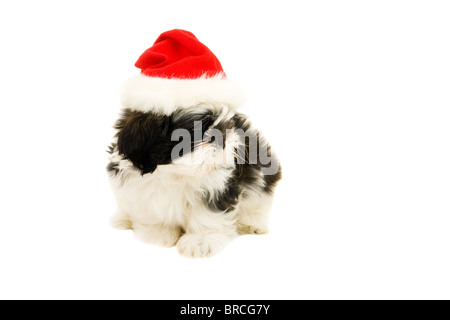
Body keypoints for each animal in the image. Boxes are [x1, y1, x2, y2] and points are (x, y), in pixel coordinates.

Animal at [106, 29, 282, 258]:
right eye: (195, 131)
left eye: (228, 124)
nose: (222, 136)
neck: (176, 174)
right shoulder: (136, 185)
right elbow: (150, 212)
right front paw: (158, 233)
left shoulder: (218, 185)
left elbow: (208, 214)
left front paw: (201, 240)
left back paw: (252, 223)